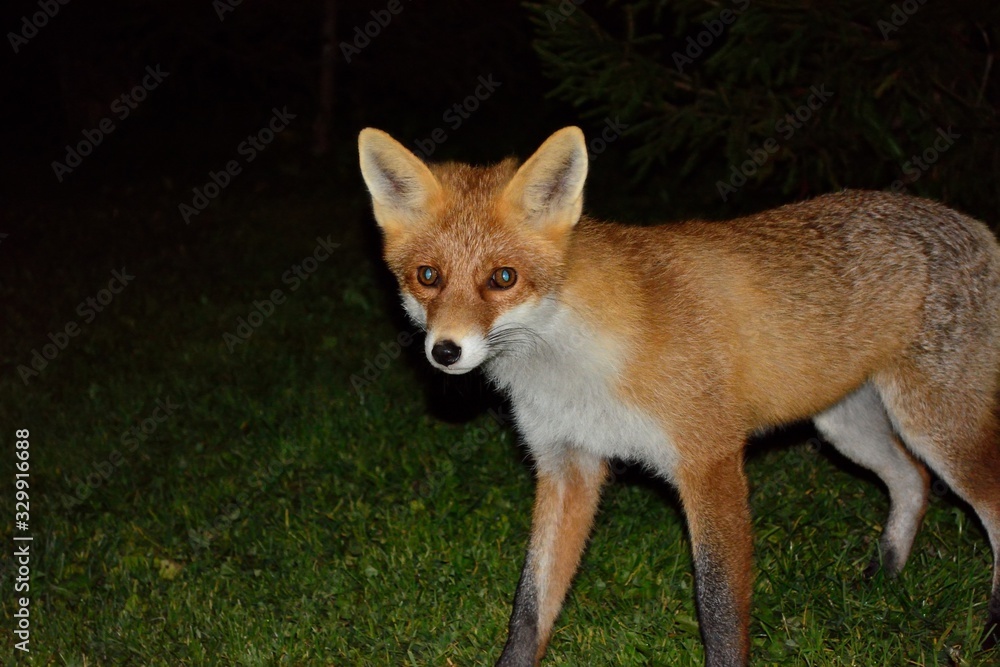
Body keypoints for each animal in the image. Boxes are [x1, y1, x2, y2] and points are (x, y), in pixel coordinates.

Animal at [357, 125, 1000, 666]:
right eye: (428, 277)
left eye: (503, 279)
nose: (445, 352)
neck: (577, 365)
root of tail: (974, 225)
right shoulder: (567, 464)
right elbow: (529, 608)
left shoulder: (709, 460)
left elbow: (718, 611)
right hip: (846, 426)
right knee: (913, 480)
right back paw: (885, 576)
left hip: (937, 427)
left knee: (981, 504)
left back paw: (989, 628)